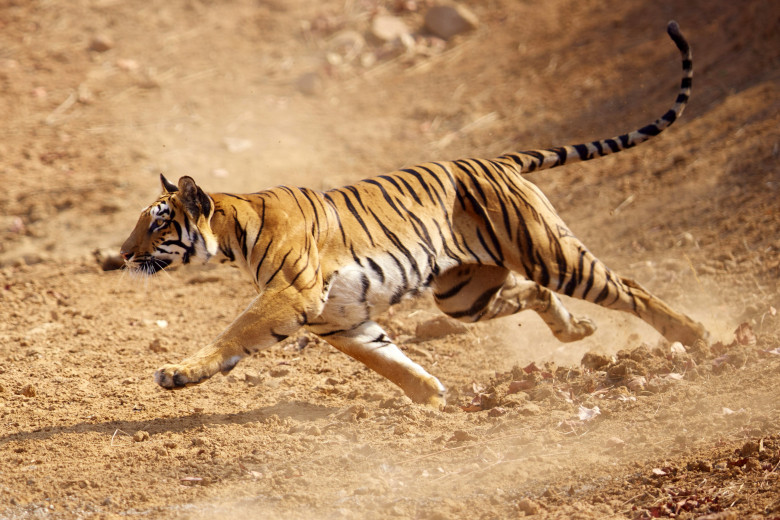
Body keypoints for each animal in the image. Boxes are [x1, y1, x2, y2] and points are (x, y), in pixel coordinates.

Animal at [120, 22, 708, 406]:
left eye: (158, 222)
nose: (123, 254)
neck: (232, 235)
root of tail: (501, 159)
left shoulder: (291, 293)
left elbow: (234, 333)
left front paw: (176, 373)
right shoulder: (340, 318)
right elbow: (386, 360)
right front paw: (432, 397)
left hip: (549, 252)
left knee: (628, 286)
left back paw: (695, 333)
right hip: (464, 295)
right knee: (534, 292)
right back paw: (577, 331)